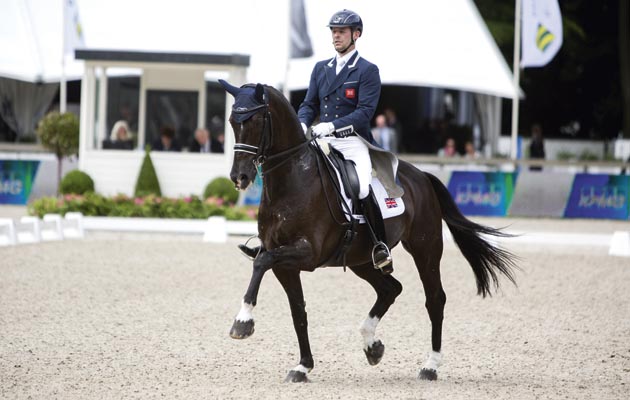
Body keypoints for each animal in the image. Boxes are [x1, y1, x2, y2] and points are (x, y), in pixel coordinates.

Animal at [221, 79, 520, 382]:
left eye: (257, 120)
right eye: (233, 121)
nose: (239, 177)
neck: (291, 180)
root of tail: (422, 176)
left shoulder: (307, 253)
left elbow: (261, 261)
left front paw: (242, 322)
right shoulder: (286, 264)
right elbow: (298, 311)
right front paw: (302, 366)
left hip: (425, 247)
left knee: (434, 299)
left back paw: (430, 365)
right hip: (361, 258)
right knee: (390, 288)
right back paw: (372, 345)